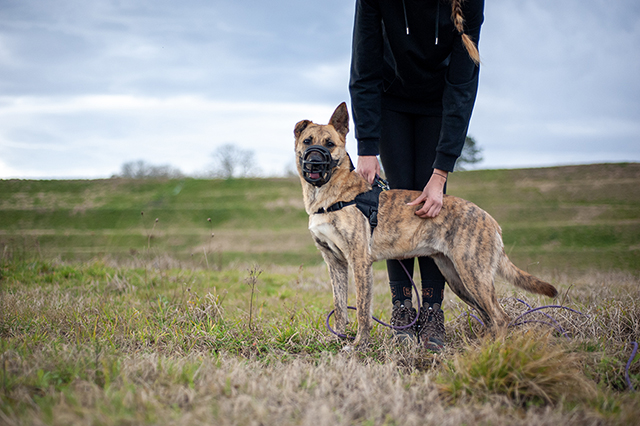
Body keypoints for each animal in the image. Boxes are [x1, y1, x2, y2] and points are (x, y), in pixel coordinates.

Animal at [294, 103, 556, 346]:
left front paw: (359, 345)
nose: (314, 163)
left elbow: (362, 310)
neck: (330, 196)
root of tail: (490, 219)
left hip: (473, 274)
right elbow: (339, 308)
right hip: (458, 279)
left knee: (501, 317)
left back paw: (493, 351)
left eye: (329, 144)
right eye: (307, 141)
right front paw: (335, 340)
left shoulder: (359, 262)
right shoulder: (335, 263)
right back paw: (482, 346)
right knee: (488, 316)